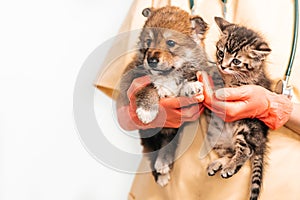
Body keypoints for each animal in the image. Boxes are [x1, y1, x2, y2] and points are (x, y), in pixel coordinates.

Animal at [117, 6, 209, 188]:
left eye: (171, 43)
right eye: (148, 42)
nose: (151, 59)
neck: (168, 74)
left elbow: (188, 76)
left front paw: (191, 86)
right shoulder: (134, 77)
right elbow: (150, 87)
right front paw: (147, 111)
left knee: (168, 145)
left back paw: (163, 163)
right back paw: (161, 173)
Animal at [206, 17, 272, 200]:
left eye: (236, 61)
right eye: (221, 53)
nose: (222, 66)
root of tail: (262, 141)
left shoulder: (248, 85)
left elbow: (233, 88)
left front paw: (222, 90)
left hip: (246, 125)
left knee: (247, 150)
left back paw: (230, 167)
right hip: (215, 136)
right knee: (230, 152)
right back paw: (220, 163)